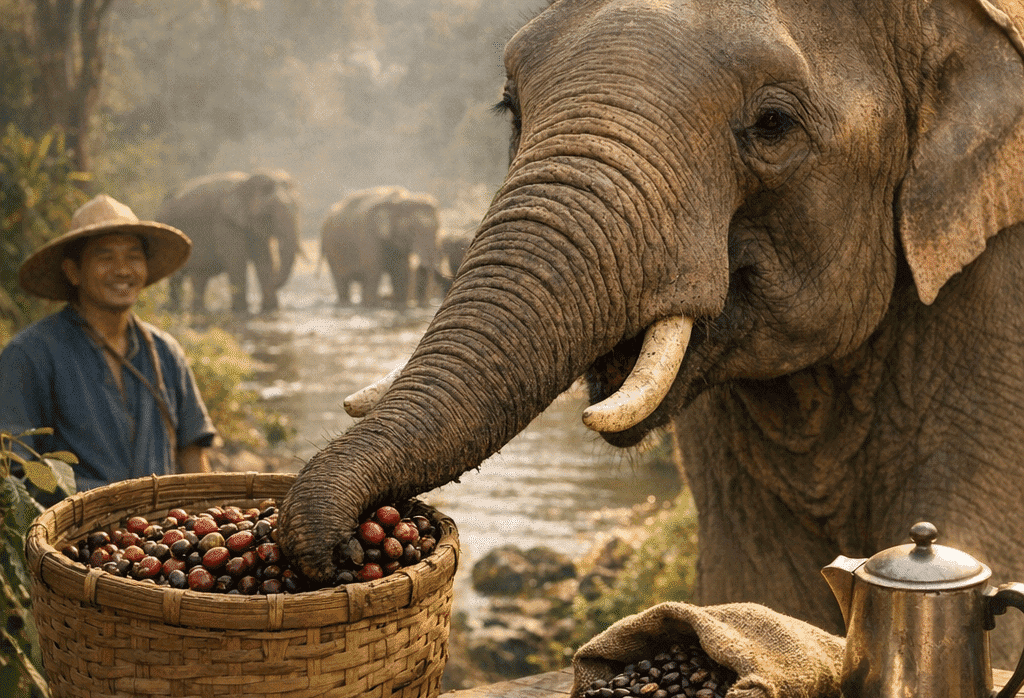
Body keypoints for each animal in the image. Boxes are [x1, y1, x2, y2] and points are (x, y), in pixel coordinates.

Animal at [156, 169, 300, 314]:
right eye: (269, 213)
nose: (275, 283)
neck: (246, 180)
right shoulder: (224, 221)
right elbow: (237, 260)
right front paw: (241, 311)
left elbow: (264, 260)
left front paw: (270, 309)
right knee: (177, 277)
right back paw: (172, 309)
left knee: (200, 276)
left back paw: (198, 311)